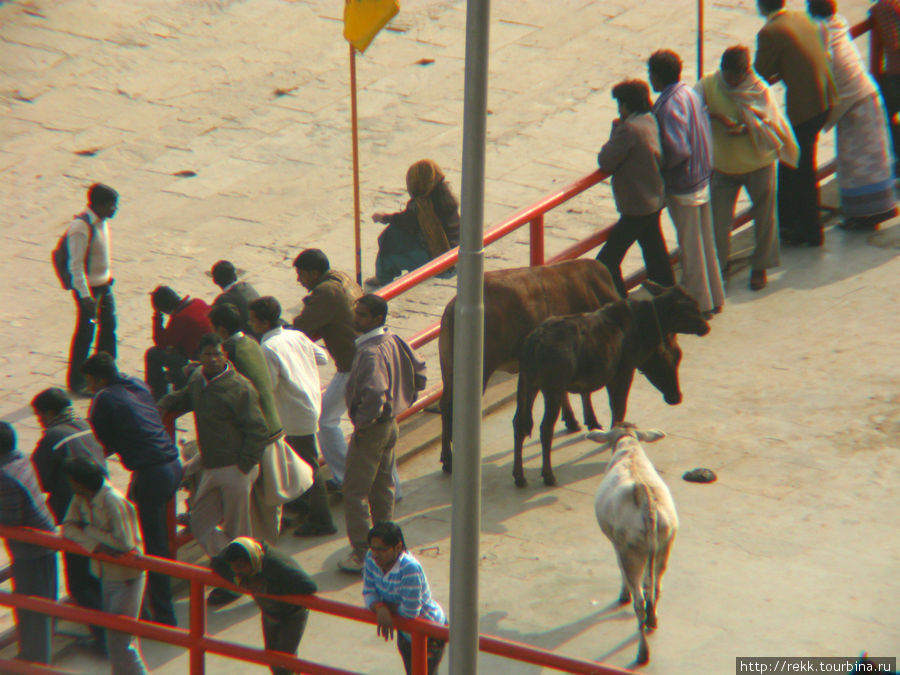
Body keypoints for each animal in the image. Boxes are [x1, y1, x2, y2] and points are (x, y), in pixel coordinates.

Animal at [440, 256, 680, 472]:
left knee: (446, 406)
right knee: (454, 409)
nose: (676, 397)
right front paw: (589, 420)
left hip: (448, 369)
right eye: (675, 355)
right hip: (479, 369)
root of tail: (453, 307)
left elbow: (574, 392)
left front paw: (575, 419)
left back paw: (447, 459)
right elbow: (588, 393)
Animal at [512, 282, 712, 488]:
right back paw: (548, 475)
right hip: (553, 387)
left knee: (520, 423)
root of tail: (532, 344)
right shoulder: (624, 370)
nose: (705, 326)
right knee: (545, 428)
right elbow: (618, 407)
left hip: (526, 383)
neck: (649, 327)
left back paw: (519, 475)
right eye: (689, 308)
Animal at [588, 428, 680, 664]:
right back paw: (653, 620)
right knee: (655, 587)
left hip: (631, 552)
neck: (629, 447)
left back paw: (642, 653)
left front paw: (623, 594)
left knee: (639, 601)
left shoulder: (617, 544)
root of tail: (644, 496)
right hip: (664, 546)